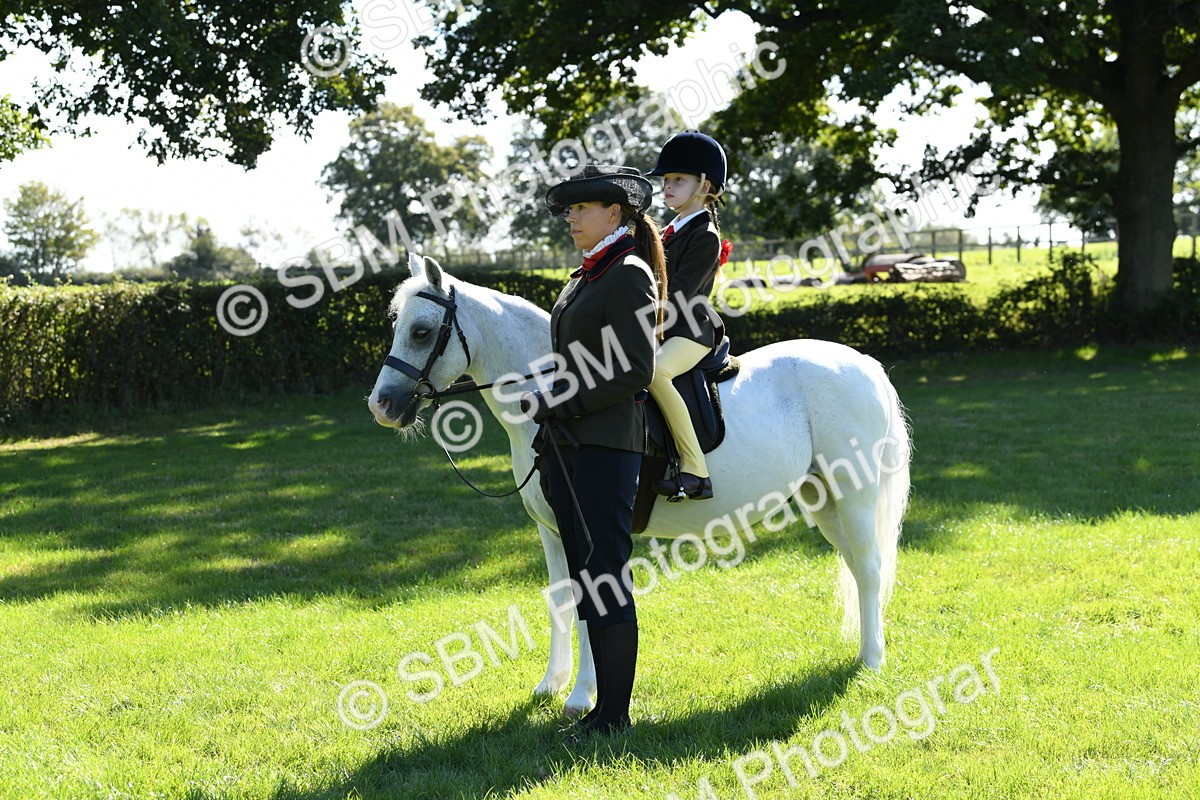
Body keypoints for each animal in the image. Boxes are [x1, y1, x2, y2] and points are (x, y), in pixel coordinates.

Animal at [368, 254, 911, 715]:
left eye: (421, 331)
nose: (382, 405)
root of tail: (864, 364)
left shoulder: (585, 530)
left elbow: (589, 605)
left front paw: (581, 697)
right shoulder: (551, 529)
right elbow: (560, 601)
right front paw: (551, 684)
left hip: (854, 496)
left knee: (868, 568)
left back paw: (872, 661)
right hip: (825, 500)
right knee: (859, 567)